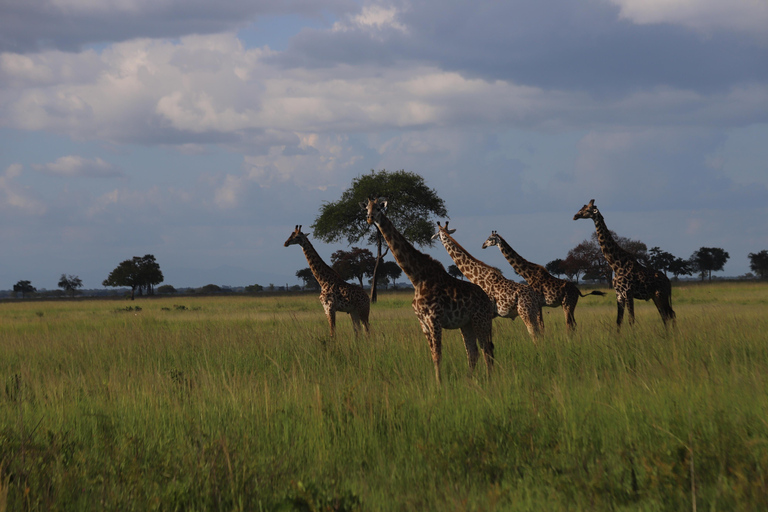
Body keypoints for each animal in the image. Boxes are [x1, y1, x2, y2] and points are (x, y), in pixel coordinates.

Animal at [362, 198, 496, 382]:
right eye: (366, 209)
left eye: (378, 208)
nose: (370, 218)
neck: (417, 277)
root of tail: (488, 300)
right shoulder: (423, 322)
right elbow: (433, 354)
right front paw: (437, 381)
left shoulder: (434, 319)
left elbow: (438, 354)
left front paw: (439, 384)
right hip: (466, 324)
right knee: (473, 352)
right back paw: (470, 381)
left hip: (480, 321)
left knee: (487, 351)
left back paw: (490, 381)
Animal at [480, 229, 608, 332]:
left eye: (490, 238)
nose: (483, 245)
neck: (528, 274)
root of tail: (577, 291)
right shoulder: (539, 304)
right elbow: (541, 325)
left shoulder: (537, 302)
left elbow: (541, 325)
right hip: (569, 304)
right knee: (573, 324)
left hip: (567, 304)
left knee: (570, 324)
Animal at [572, 198, 676, 330]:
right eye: (582, 207)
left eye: (587, 209)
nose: (575, 216)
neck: (616, 265)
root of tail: (668, 281)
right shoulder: (619, 294)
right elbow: (618, 320)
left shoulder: (628, 292)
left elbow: (631, 319)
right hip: (655, 296)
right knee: (665, 315)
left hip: (661, 295)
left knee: (670, 314)